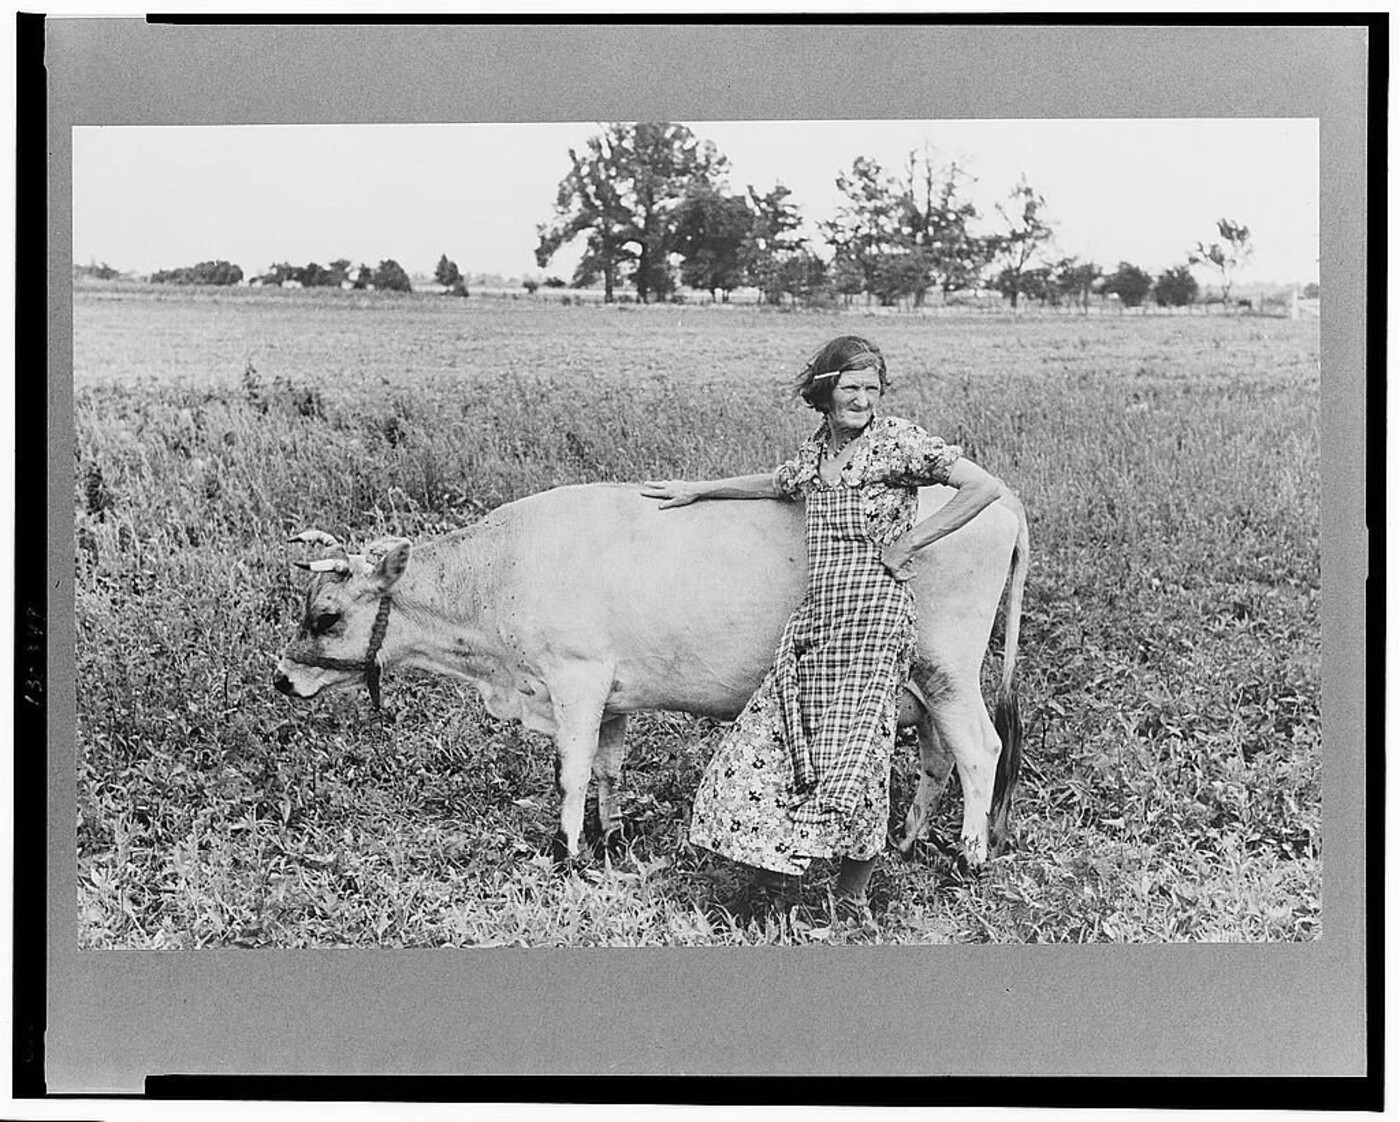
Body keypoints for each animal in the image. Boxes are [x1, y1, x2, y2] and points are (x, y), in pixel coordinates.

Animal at [273, 481, 1030, 868]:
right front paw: (609, 837)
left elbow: (571, 773)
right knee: (938, 760)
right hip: (921, 689)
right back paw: (906, 840)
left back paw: (971, 855)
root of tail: (1003, 503)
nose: (282, 680)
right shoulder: (612, 695)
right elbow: (608, 768)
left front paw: (568, 850)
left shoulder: (575, 680)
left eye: (327, 616)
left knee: (979, 751)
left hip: (947, 672)